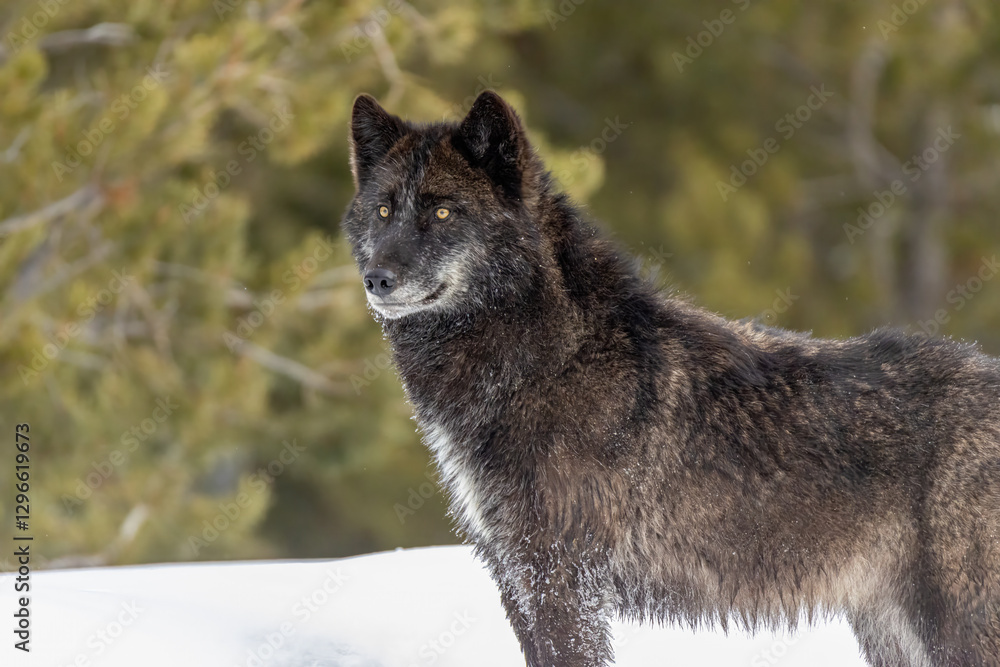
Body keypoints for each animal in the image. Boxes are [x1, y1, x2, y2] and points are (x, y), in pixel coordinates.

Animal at [341, 90, 1000, 666]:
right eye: (384, 210)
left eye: (442, 211)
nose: (377, 279)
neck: (548, 355)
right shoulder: (515, 574)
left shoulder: (558, 577)